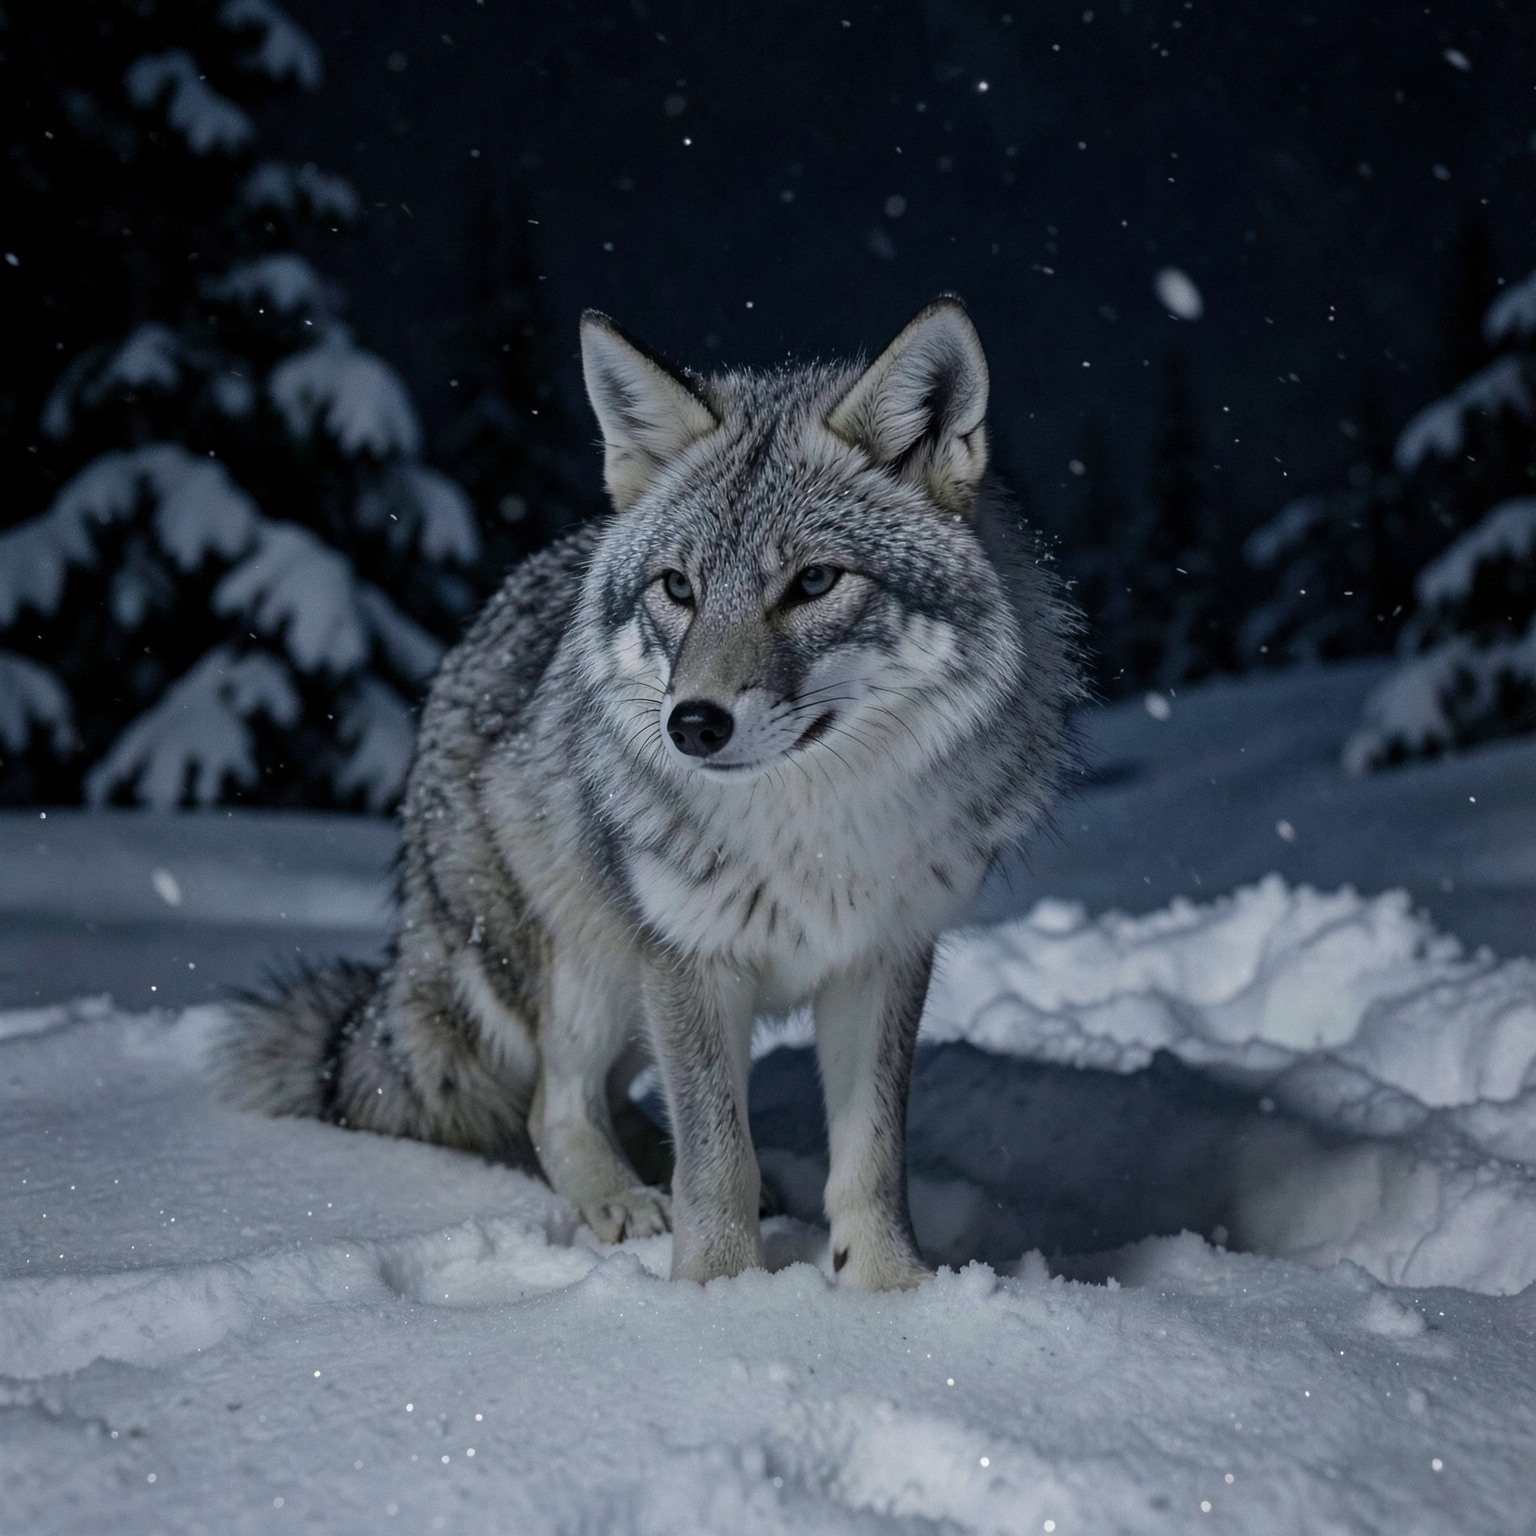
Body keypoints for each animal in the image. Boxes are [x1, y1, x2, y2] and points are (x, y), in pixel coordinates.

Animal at [222, 296, 1080, 1289]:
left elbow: (869, 1158)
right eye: (679, 587)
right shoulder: (688, 960)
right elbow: (715, 1158)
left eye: (813, 582)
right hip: (588, 964)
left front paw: (893, 1292)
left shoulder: (882, 958)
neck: (814, 833)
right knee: (553, 1104)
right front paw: (715, 1293)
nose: (693, 724)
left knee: (611, 1097)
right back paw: (625, 1203)